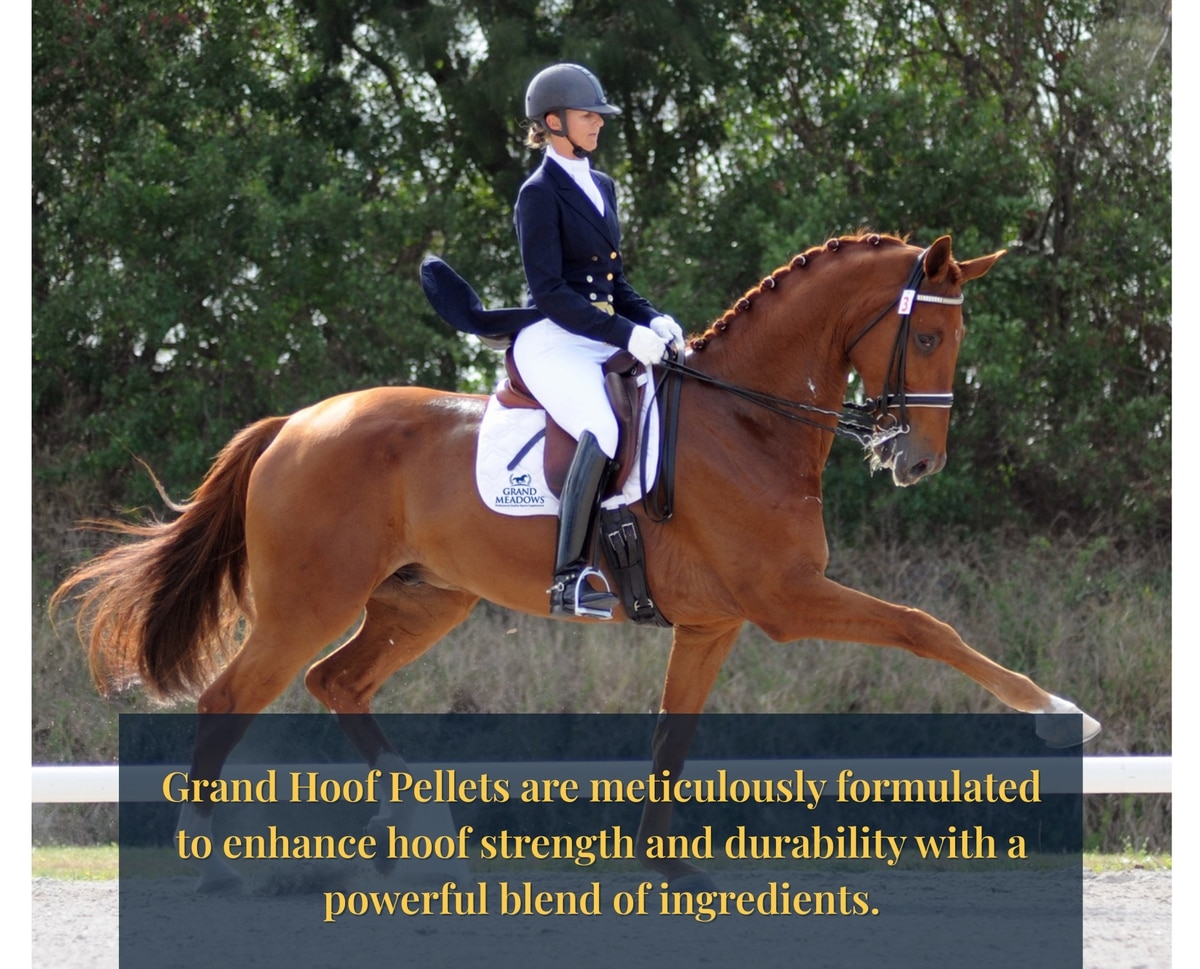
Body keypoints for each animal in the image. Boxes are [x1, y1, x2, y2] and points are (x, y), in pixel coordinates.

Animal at [51, 232, 1100, 894]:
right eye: (925, 333)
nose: (916, 462)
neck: (749, 421)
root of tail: (294, 424)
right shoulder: (785, 598)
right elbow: (929, 628)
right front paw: (1061, 715)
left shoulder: (714, 622)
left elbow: (672, 739)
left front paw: (666, 865)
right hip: (307, 601)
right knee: (233, 697)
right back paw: (221, 860)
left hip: (422, 601)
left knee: (337, 681)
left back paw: (426, 833)